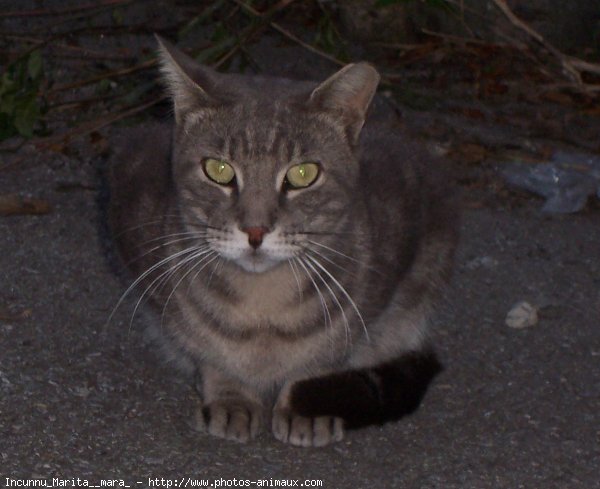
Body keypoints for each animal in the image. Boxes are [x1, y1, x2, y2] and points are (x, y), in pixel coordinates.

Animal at [105, 37, 458, 446]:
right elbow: (207, 351)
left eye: (303, 174)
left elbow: (326, 354)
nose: (255, 230)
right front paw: (229, 395)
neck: (262, 308)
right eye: (218, 170)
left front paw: (307, 404)